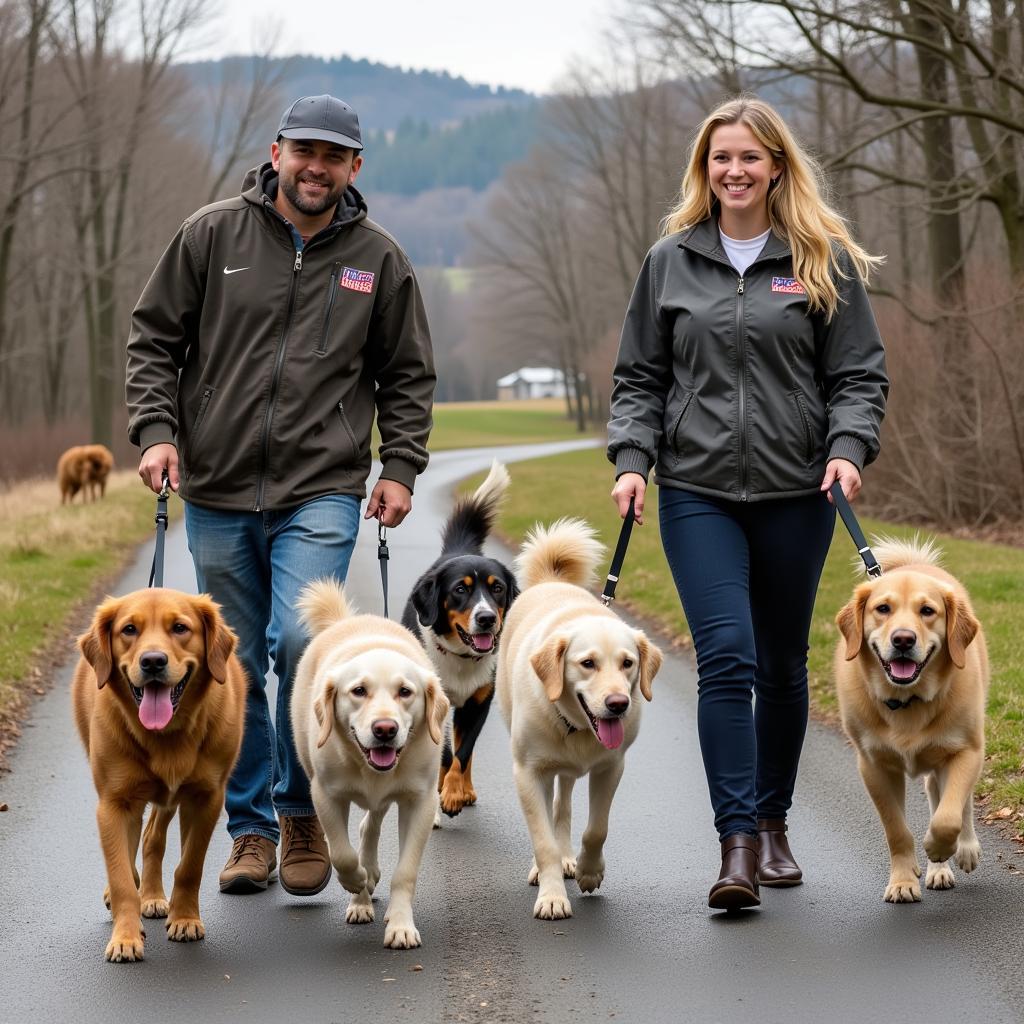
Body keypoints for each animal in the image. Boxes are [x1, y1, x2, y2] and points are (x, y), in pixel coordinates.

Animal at [290, 581, 446, 946]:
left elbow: (405, 872)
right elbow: (342, 854)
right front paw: (357, 882)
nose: (385, 729)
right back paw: (361, 894)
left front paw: (401, 925)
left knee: (370, 823)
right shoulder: (325, 794)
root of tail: (345, 621)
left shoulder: (421, 801)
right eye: (359, 690)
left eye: (405, 691)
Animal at [401, 464, 520, 823]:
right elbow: (445, 752)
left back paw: (464, 789)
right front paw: (444, 791)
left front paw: (455, 792)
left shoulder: (479, 701)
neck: (460, 658)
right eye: (460, 589)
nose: (487, 619)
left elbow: (463, 752)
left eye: (497, 588)